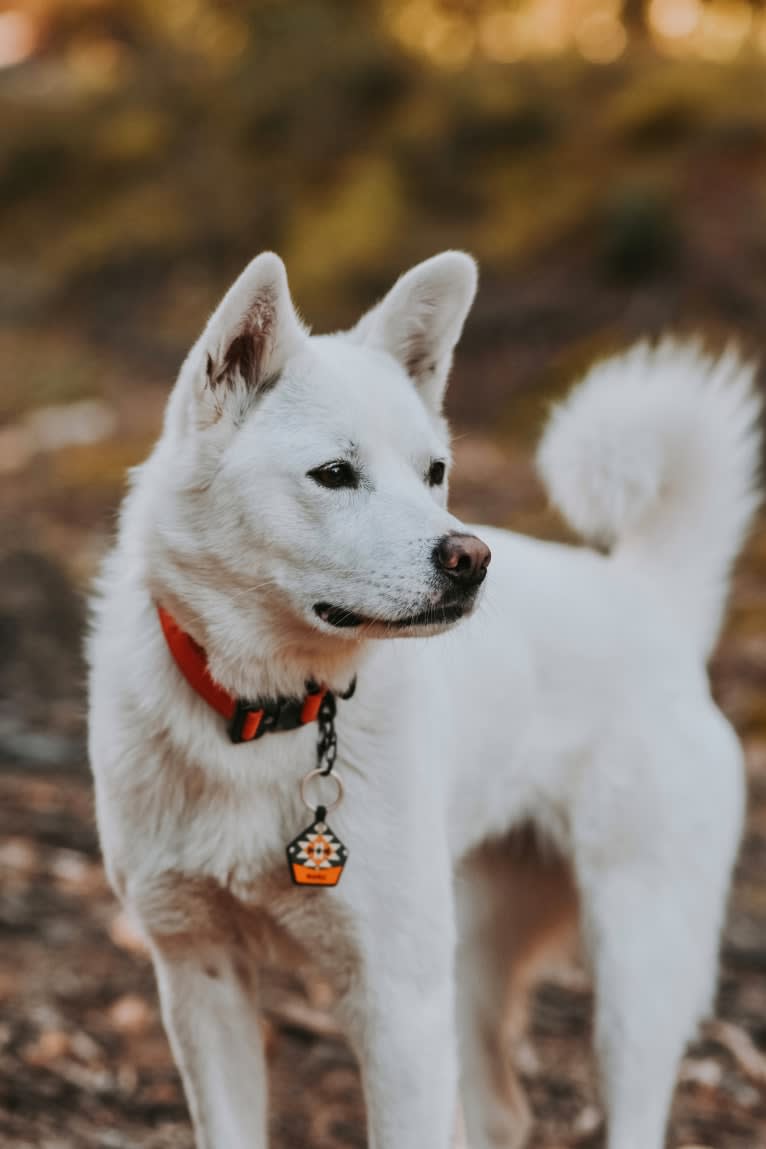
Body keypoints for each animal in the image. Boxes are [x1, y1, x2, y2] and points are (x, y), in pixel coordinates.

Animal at [88, 253, 762, 1149]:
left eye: (433, 471)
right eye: (335, 474)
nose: (470, 558)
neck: (270, 712)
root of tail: (648, 597)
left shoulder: (396, 1001)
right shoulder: (200, 971)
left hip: (635, 964)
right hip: (469, 960)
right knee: (500, 1111)